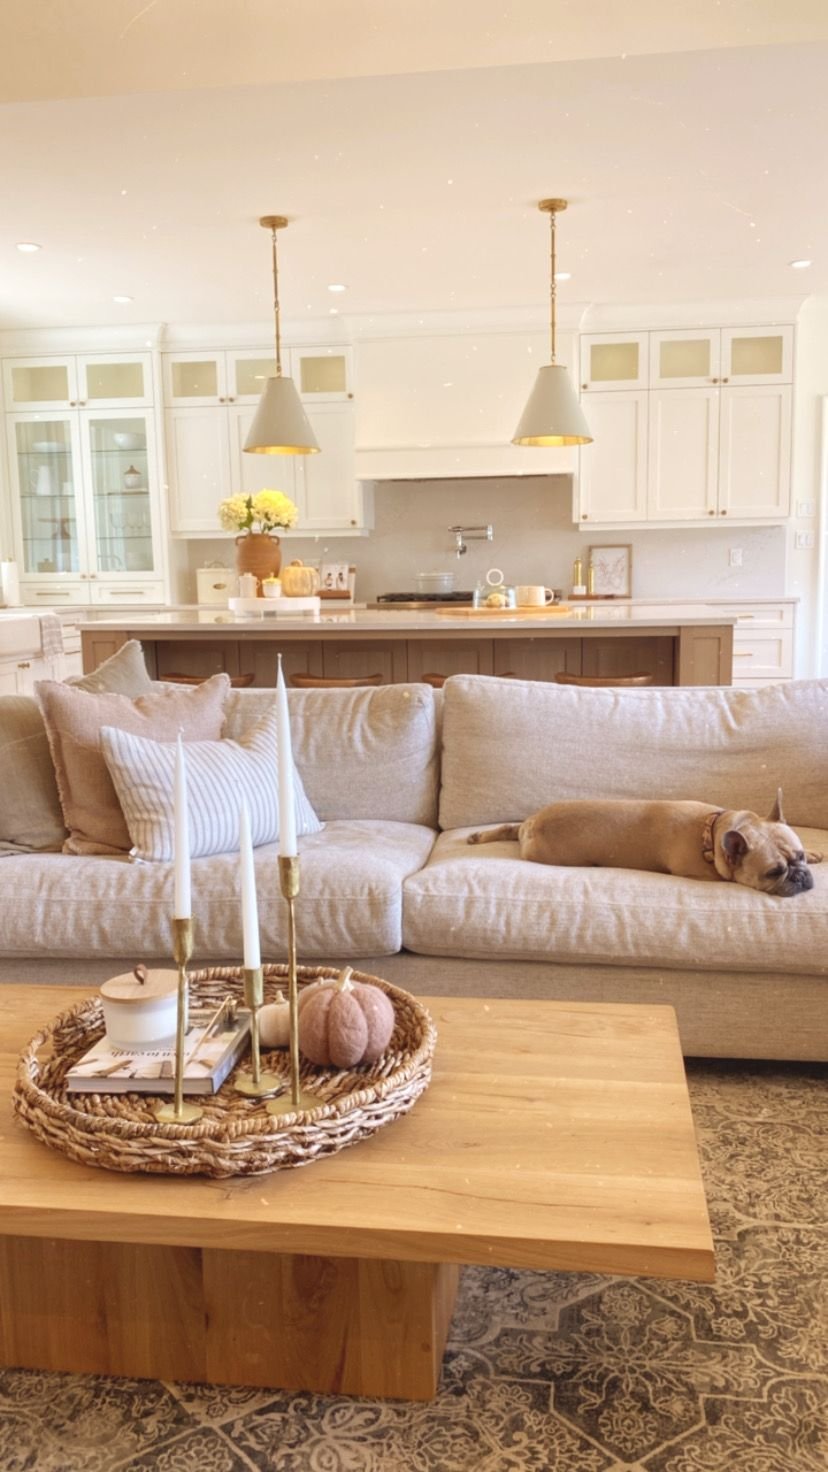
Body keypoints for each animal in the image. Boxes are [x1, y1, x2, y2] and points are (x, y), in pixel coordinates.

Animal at [467, 790, 822, 897]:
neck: (712, 832)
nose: (800, 875)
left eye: (799, 857)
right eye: (773, 873)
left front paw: (817, 853)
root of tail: (532, 824)